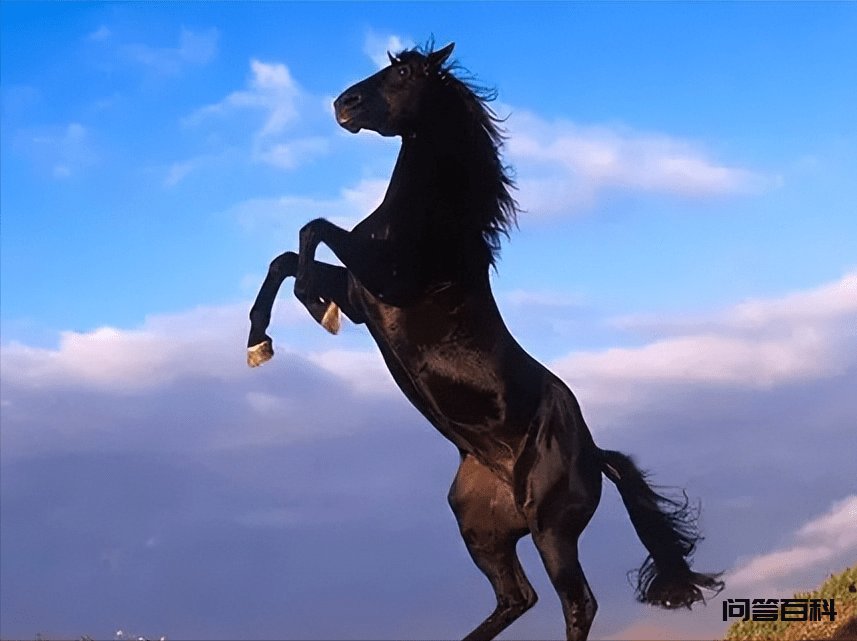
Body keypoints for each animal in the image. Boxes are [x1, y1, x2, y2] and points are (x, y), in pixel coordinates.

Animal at [246, 42, 723, 641]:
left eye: (405, 73)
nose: (342, 104)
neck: (432, 221)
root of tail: (596, 455)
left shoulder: (385, 280)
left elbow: (314, 231)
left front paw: (311, 304)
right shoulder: (362, 297)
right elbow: (285, 258)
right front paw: (259, 341)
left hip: (550, 528)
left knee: (576, 602)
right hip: (480, 525)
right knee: (517, 597)